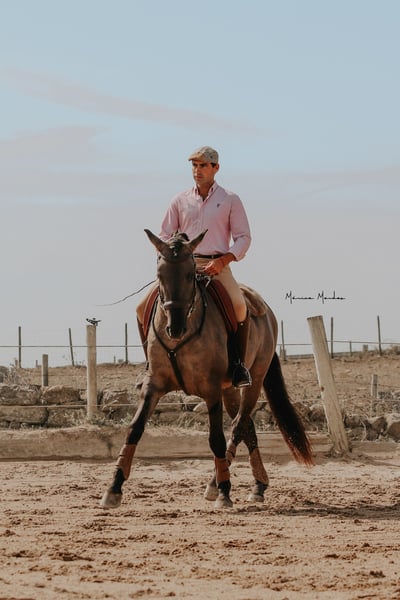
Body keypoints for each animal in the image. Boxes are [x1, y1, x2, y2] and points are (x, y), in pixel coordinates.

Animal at [101, 230, 314, 510]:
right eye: (160, 274)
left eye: (190, 274)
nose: (175, 328)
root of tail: (266, 310)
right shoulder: (153, 385)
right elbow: (134, 429)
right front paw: (113, 488)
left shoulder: (211, 390)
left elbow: (216, 439)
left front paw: (224, 492)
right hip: (229, 390)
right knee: (247, 427)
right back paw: (258, 486)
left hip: (253, 381)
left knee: (238, 426)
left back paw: (217, 484)